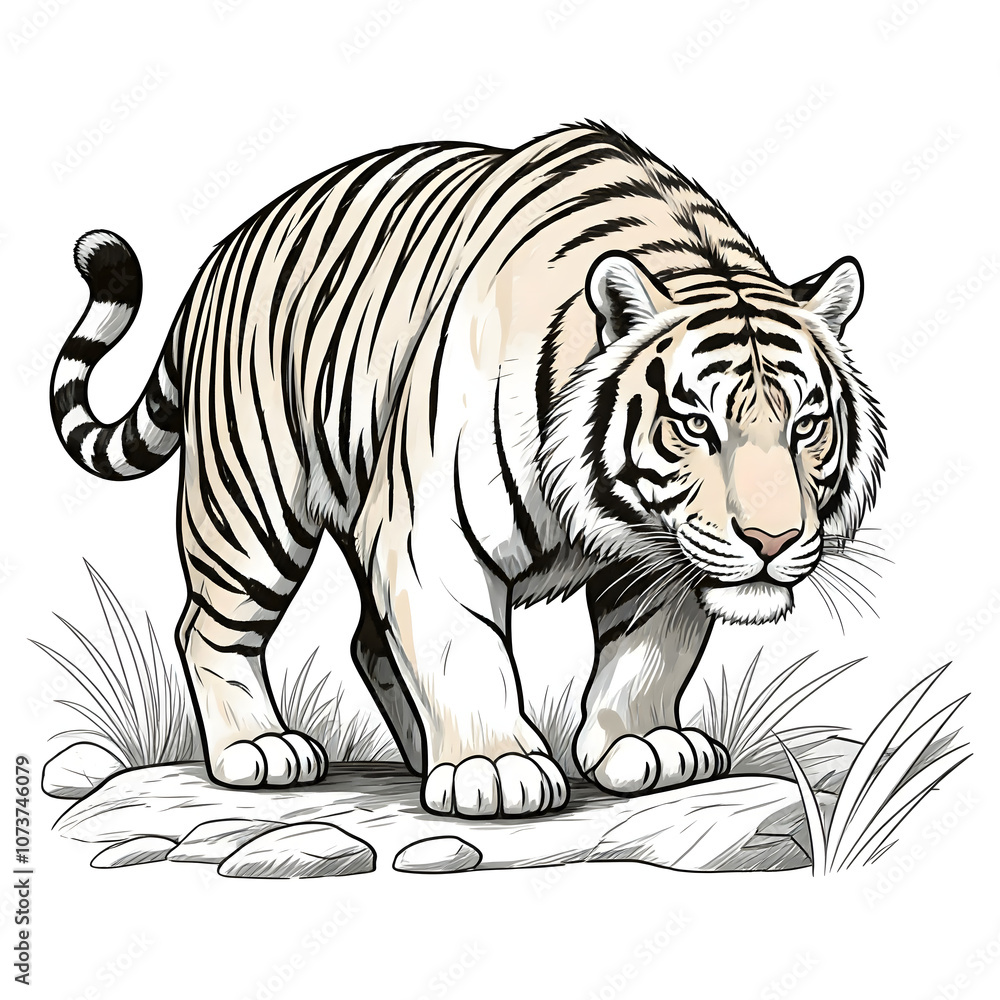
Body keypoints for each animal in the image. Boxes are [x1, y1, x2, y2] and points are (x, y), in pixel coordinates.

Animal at [51, 122, 885, 818]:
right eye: (695, 425)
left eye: (806, 427)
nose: (773, 542)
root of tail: (220, 255)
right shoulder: (428, 534)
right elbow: (465, 648)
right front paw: (498, 768)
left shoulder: (663, 559)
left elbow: (651, 652)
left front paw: (641, 744)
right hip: (251, 508)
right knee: (209, 628)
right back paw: (259, 749)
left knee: (368, 640)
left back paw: (421, 754)